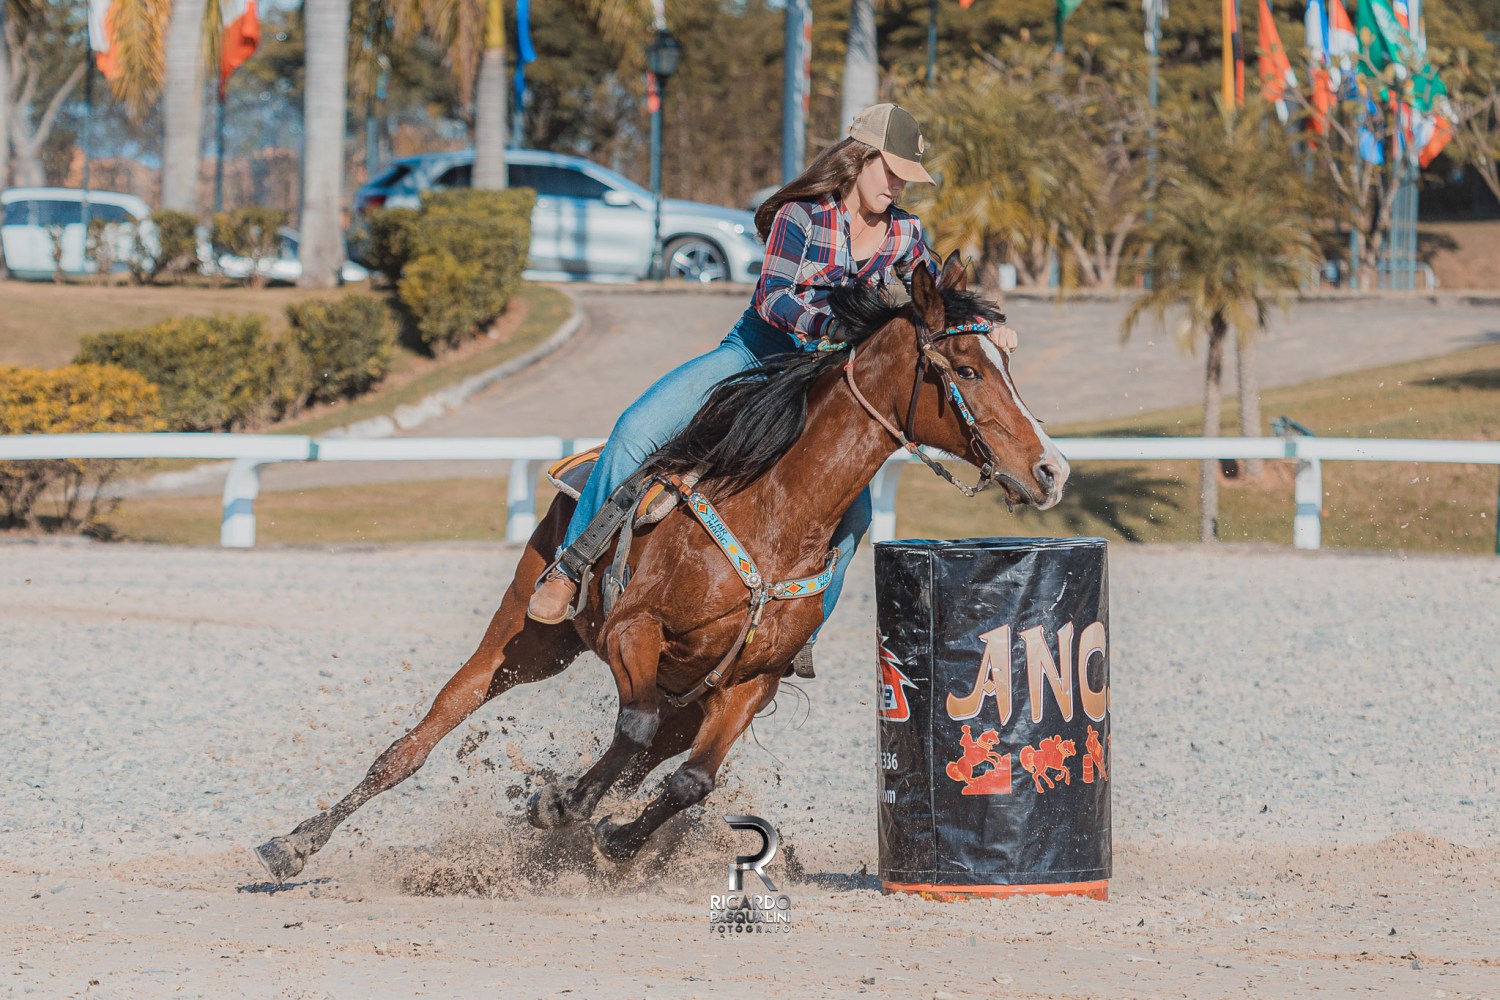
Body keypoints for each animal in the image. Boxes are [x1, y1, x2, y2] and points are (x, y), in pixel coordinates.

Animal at [261, 251, 1080, 881]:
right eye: (967, 369)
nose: (1051, 470)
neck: (774, 511)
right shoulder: (635, 629)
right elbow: (631, 724)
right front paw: (565, 805)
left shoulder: (750, 681)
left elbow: (688, 780)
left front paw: (606, 833)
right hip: (528, 639)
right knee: (426, 733)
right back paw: (296, 843)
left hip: (687, 696)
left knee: (650, 752)